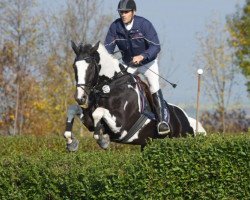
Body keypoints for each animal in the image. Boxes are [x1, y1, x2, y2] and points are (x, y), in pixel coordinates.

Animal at [63, 41, 206, 152]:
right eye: (74, 66)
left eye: (91, 67)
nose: (80, 98)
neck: (109, 88)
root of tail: (189, 120)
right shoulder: (89, 121)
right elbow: (72, 109)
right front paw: (72, 143)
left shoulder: (121, 125)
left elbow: (98, 112)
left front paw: (103, 140)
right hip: (148, 145)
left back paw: (163, 126)